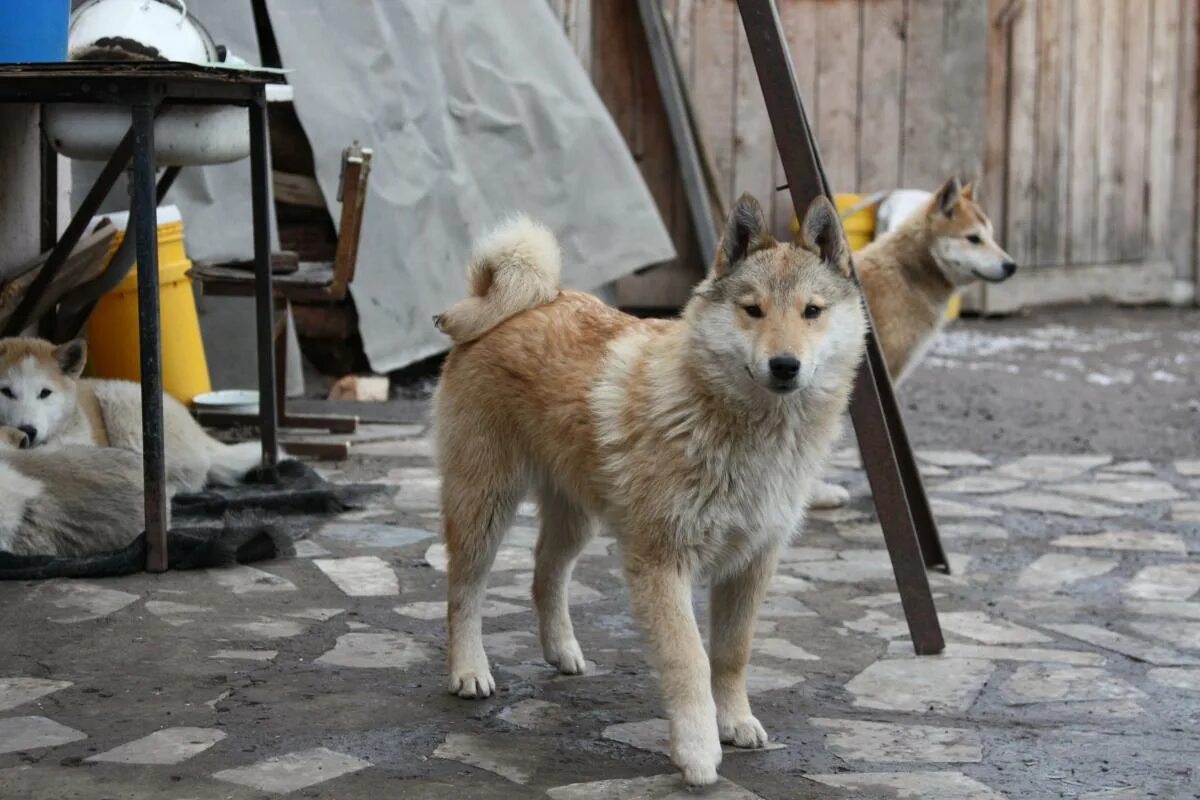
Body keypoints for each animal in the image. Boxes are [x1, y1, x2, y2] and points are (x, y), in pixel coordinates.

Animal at [436, 195, 868, 786]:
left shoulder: (751, 565)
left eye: (812, 311)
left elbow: (732, 654)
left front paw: (736, 721)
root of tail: (516, 303)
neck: (743, 432)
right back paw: (469, 670)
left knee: (546, 574)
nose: (785, 365)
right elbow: (690, 660)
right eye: (753, 310)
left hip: (577, 516)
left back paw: (562, 650)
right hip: (484, 504)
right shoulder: (662, 564)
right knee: (465, 591)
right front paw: (698, 750)